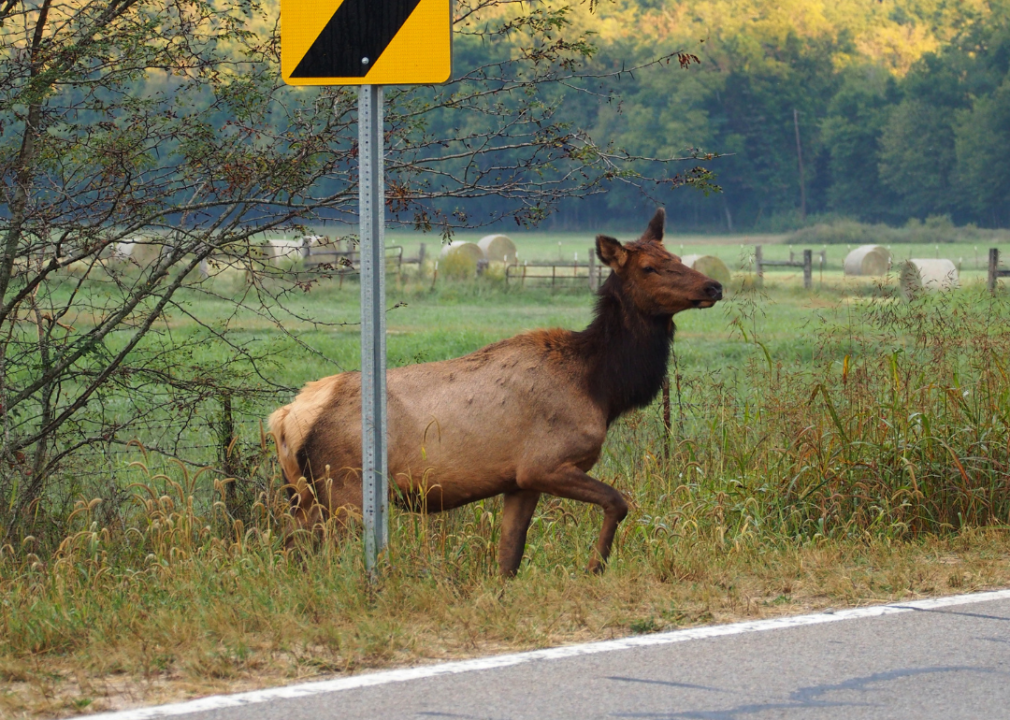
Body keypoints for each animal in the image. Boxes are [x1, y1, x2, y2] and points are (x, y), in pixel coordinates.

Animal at [268, 208, 723, 573]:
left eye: (676, 258)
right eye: (648, 268)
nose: (714, 286)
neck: (602, 387)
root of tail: (284, 418)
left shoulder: (519, 481)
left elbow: (508, 557)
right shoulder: (545, 463)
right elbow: (618, 501)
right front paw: (595, 566)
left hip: (304, 493)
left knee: (293, 549)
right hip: (344, 488)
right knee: (321, 555)